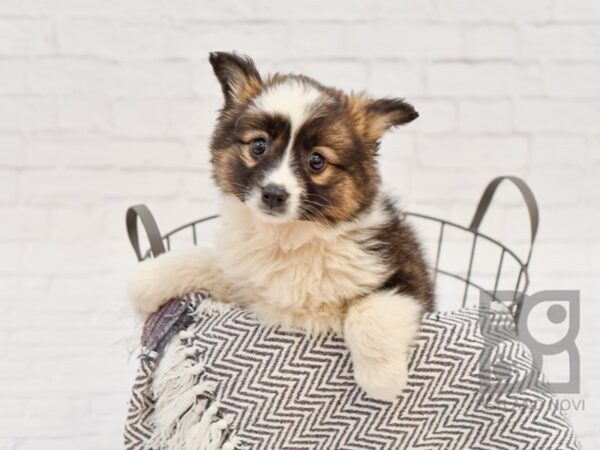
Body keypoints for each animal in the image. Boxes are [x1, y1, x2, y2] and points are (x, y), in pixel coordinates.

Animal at [129, 52, 434, 400]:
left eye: (317, 161)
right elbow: (203, 260)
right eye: (258, 146)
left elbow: (372, 310)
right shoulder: (243, 281)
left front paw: (383, 380)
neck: (289, 237)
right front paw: (146, 281)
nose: (274, 194)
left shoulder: (404, 272)